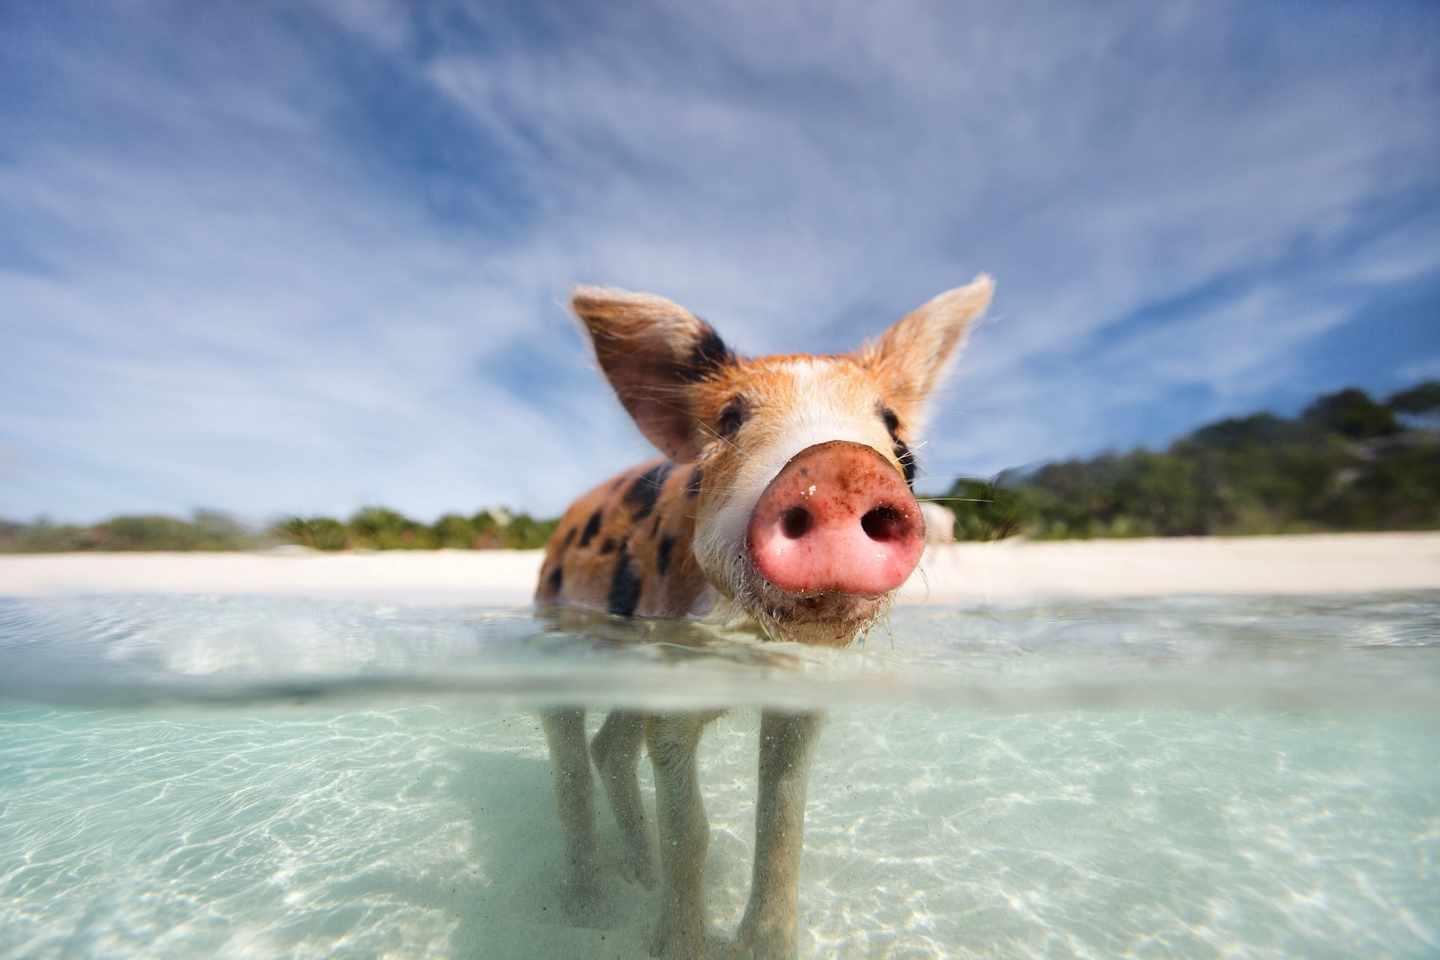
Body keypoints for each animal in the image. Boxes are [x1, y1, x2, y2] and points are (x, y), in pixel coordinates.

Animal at [534, 275, 994, 959]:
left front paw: (764, 946)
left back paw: (639, 875)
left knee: (610, 748)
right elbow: (690, 833)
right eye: (730, 420)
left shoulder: (800, 695)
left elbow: (781, 822)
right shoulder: (673, 685)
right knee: (571, 764)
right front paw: (677, 947)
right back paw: (588, 911)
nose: (839, 465)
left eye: (898, 438)